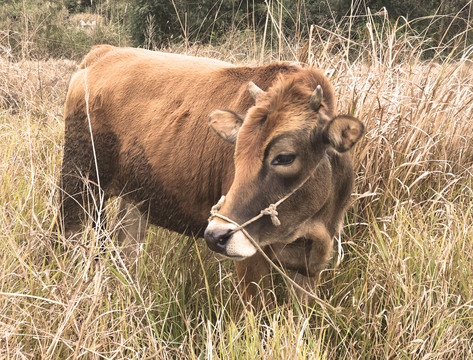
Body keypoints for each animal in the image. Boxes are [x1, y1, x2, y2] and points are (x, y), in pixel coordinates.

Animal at [59, 45, 362, 302]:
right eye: (235, 152)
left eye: (285, 157)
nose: (217, 235)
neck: (308, 225)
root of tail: (103, 53)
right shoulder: (250, 259)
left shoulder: (311, 264)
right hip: (79, 183)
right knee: (65, 236)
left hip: (133, 200)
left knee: (126, 250)